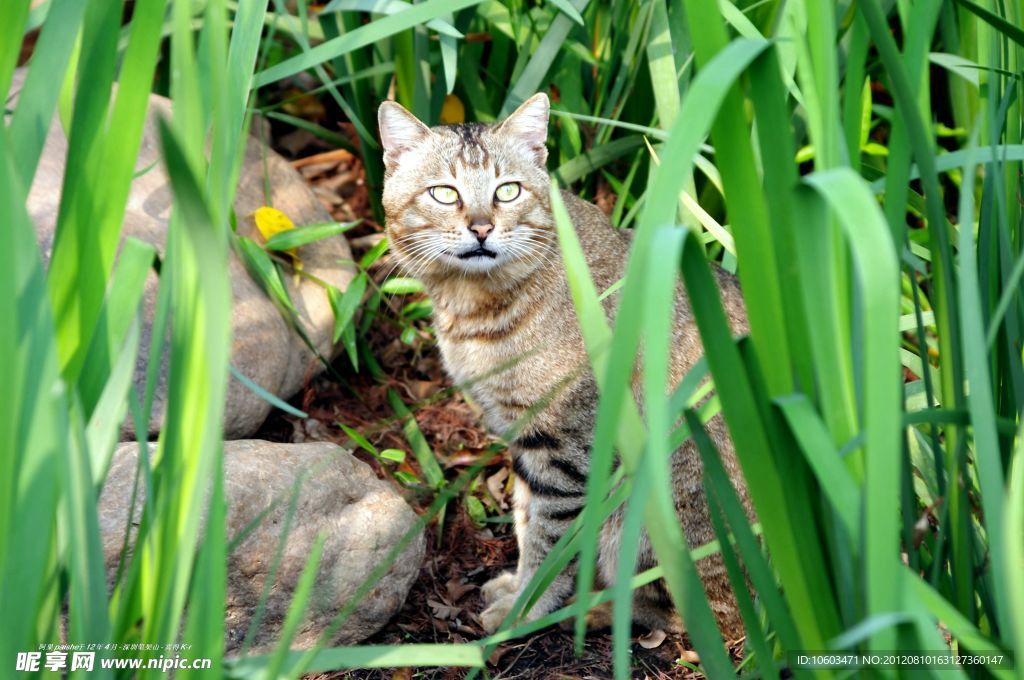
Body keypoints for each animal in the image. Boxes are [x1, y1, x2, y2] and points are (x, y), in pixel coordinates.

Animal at [376, 91, 753, 639]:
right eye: (444, 194)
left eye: (508, 191)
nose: (481, 227)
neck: (474, 308)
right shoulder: (522, 434)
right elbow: (525, 517)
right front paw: (517, 588)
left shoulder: (566, 446)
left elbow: (550, 539)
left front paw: (526, 610)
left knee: (695, 617)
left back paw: (594, 609)